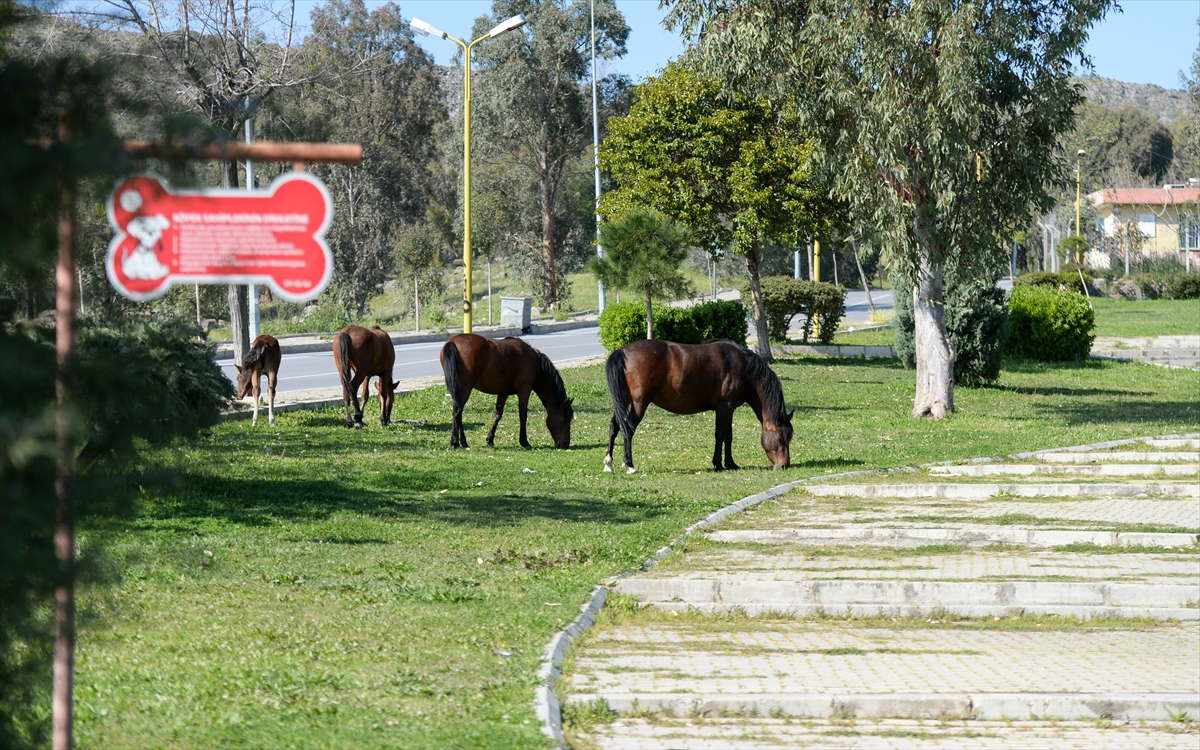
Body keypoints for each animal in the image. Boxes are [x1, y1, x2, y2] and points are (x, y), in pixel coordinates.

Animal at [441, 336, 571, 451]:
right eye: (566, 419)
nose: (565, 444)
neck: (534, 363)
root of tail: (452, 342)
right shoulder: (524, 390)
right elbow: (523, 415)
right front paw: (524, 442)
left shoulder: (503, 393)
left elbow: (498, 414)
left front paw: (490, 439)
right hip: (465, 387)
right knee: (458, 411)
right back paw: (457, 442)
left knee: (457, 412)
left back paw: (460, 442)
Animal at [604, 340, 792, 472]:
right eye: (780, 439)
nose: (784, 465)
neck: (743, 367)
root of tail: (622, 352)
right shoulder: (724, 408)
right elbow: (720, 435)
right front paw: (718, 464)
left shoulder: (729, 410)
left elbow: (728, 437)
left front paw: (731, 463)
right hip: (639, 403)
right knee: (628, 429)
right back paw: (629, 464)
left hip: (623, 401)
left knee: (614, 427)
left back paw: (608, 463)